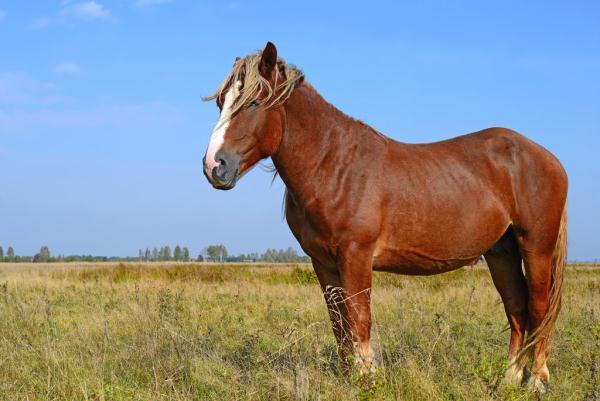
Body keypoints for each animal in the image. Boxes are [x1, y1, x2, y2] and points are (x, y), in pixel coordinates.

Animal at [200, 42, 568, 392]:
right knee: (517, 309)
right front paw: (349, 377)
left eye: (253, 103)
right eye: (221, 102)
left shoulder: (356, 256)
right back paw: (509, 378)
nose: (214, 166)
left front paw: (368, 378)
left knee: (539, 308)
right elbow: (340, 325)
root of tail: (548, 158)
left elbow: (360, 320)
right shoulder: (323, 263)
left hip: (535, 247)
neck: (333, 164)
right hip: (501, 252)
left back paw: (536, 380)